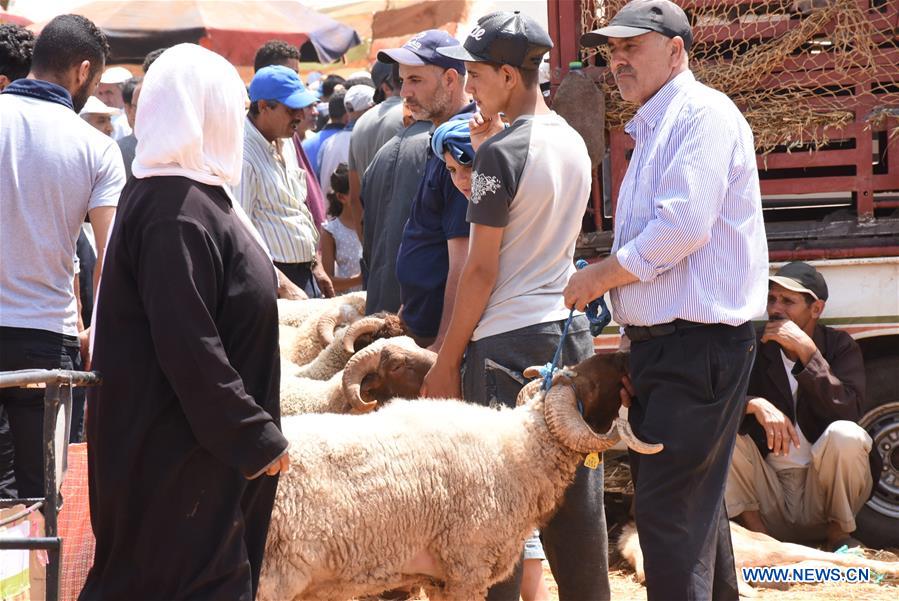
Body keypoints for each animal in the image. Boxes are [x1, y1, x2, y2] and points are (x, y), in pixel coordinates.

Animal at [258, 354, 660, 596]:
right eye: (590, 384)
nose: (624, 356)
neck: (522, 450)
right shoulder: (467, 567)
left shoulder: (438, 577)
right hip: (273, 576)